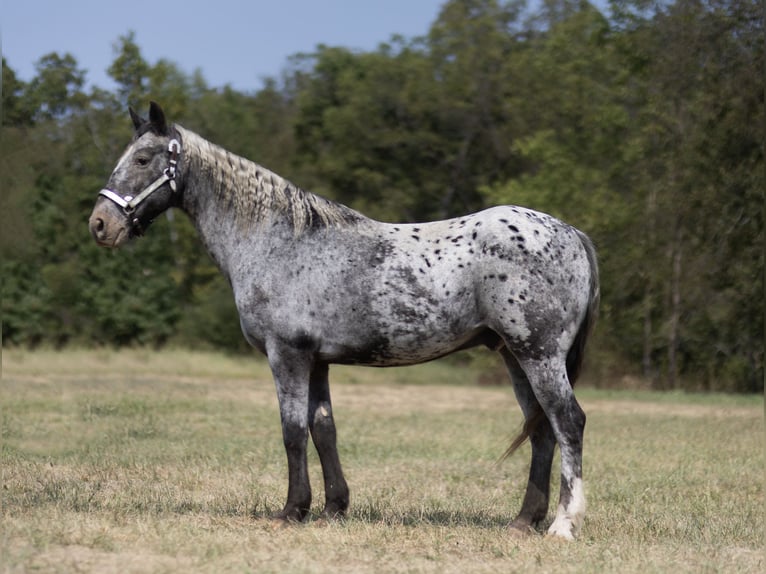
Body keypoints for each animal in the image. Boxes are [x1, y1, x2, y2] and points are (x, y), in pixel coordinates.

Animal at [85, 102, 600, 540]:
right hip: (516, 356)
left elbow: (292, 431)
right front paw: (333, 508)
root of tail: (571, 232)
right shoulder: (317, 360)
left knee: (568, 421)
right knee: (542, 429)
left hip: (538, 354)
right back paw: (524, 520)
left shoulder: (288, 354)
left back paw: (562, 525)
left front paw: (292, 510)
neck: (278, 241)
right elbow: (323, 429)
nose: (100, 225)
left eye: (144, 158)